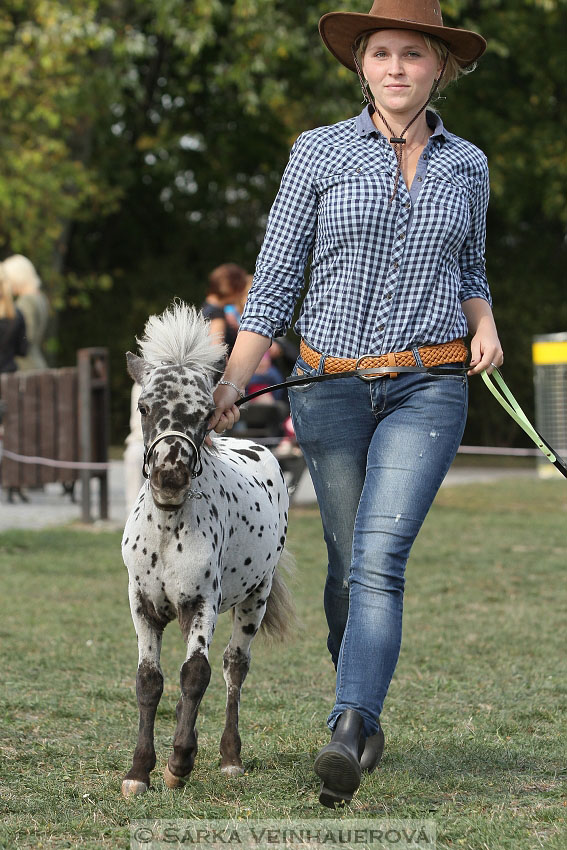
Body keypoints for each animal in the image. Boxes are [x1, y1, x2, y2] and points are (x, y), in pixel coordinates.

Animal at [122, 304, 296, 796]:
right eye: (144, 407)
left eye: (204, 413)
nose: (170, 477)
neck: (166, 533)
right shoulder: (143, 605)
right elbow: (150, 681)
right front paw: (139, 772)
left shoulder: (202, 602)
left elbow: (195, 674)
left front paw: (179, 763)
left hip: (253, 598)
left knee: (233, 667)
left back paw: (228, 757)